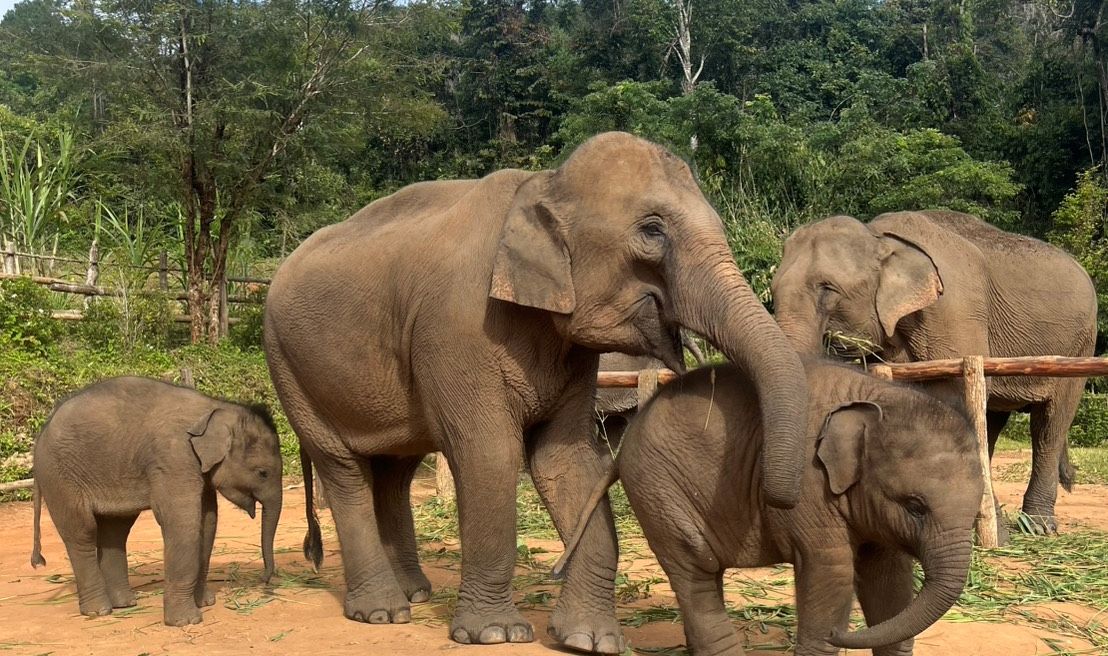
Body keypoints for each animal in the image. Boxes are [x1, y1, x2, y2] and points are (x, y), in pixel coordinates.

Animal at [30, 376, 283, 626]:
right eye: (262, 473)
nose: (265, 579)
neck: (215, 406)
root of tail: (42, 434)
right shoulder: (173, 458)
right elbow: (182, 522)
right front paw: (186, 621)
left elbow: (208, 522)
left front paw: (205, 603)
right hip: (60, 476)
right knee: (82, 532)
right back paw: (99, 611)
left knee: (115, 530)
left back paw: (125, 604)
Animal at [263, 131, 809, 652]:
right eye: (652, 231)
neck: (543, 183)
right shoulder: (457, 328)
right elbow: (490, 455)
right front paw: (494, 634)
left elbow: (567, 461)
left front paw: (592, 641)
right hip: (288, 364)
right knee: (343, 470)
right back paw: (383, 611)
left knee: (395, 469)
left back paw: (415, 594)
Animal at [555, 360, 983, 656]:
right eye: (916, 506)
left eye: (978, 512)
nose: (843, 633)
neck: (878, 398)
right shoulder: (808, 486)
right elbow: (831, 571)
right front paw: (827, 630)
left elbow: (889, 576)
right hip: (657, 487)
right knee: (694, 567)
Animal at [771, 210, 1097, 536]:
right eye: (772, 291)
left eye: (827, 289)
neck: (879, 237)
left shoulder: (954, 312)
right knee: (994, 419)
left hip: (1078, 349)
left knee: (1048, 425)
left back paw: (1038, 527)